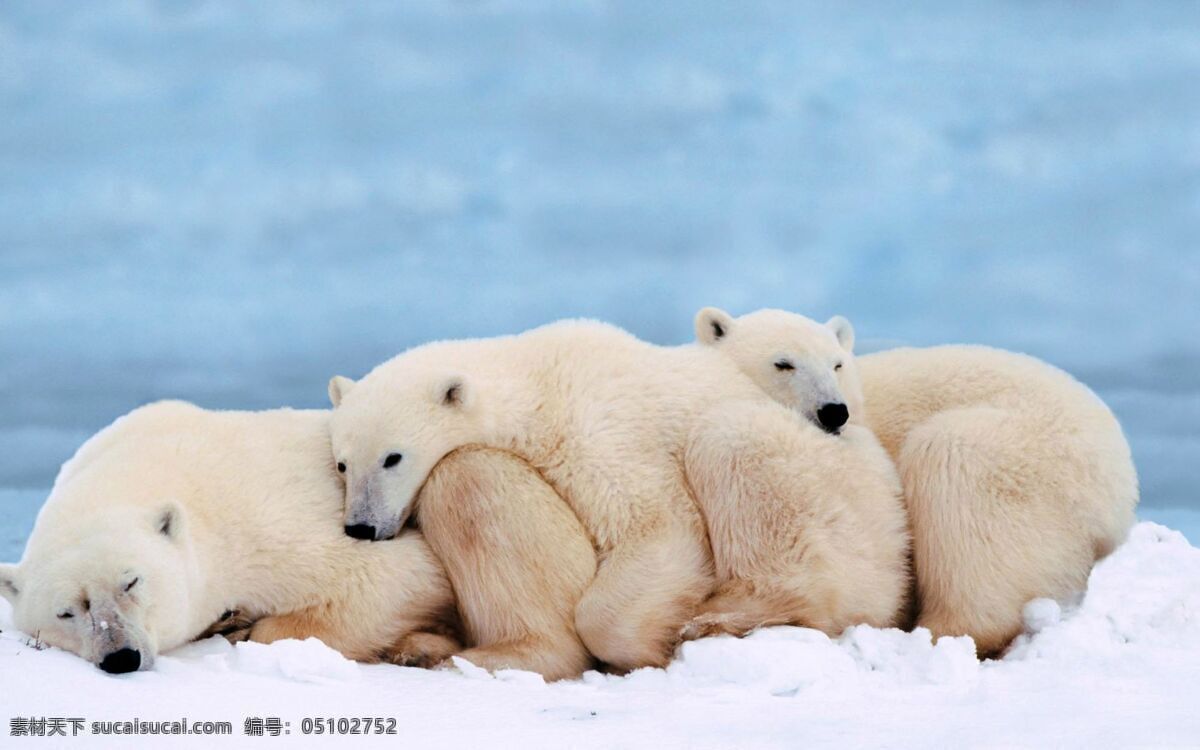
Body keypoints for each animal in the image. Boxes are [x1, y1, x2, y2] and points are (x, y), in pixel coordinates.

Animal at [0, 403, 595, 676]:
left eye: (132, 581)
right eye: (66, 611)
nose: (120, 656)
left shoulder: (263, 521)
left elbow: (394, 576)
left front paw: (245, 625)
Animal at [328, 316, 907, 667]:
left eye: (393, 457)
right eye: (342, 463)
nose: (362, 526)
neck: (537, 381)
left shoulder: (598, 430)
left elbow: (657, 526)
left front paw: (648, 645)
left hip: (832, 491)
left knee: (733, 444)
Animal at [696, 307, 1132, 652]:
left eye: (836, 363)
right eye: (783, 363)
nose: (834, 411)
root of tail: (1120, 492)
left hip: (1031, 459)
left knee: (953, 470)